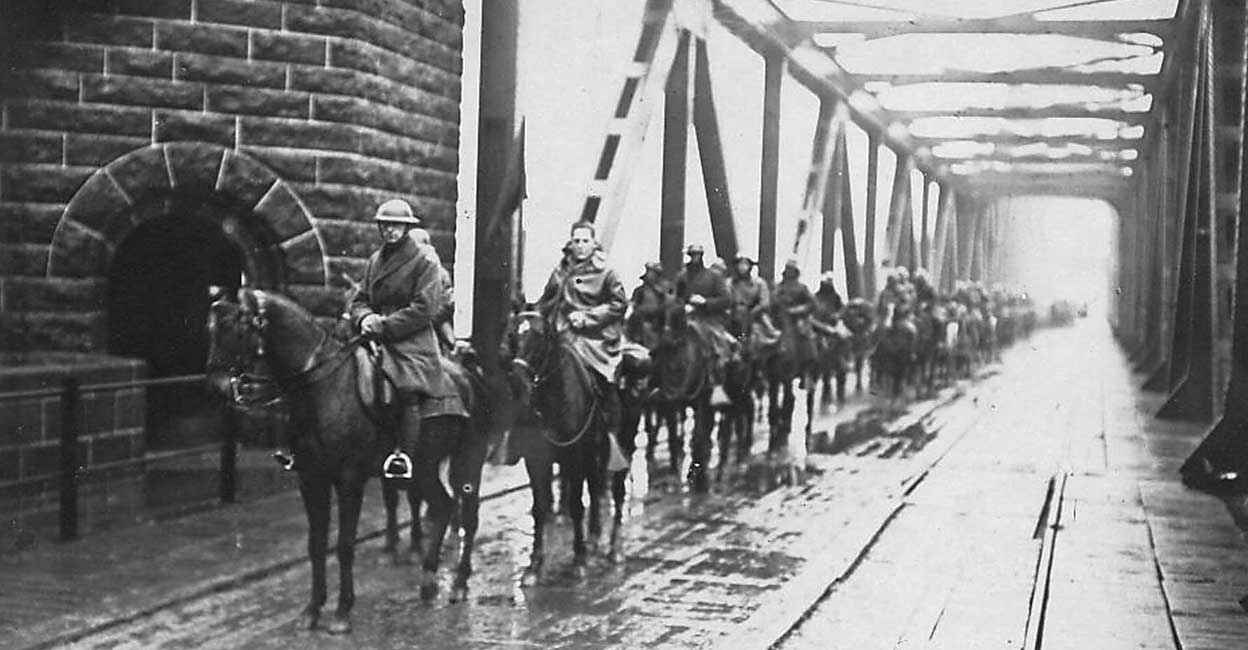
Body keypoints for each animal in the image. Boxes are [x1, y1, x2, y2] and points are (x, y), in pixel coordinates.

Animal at [207, 289, 484, 633]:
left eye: (237, 330)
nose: (218, 385)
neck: (323, 388)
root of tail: (465, 374)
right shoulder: (311, 477)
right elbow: (316, 544)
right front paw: (312, 609)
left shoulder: (350, 479)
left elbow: (344, 544)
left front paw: (341, 612)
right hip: (423, 468)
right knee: (443, 506)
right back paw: (429, 581)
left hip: (465, 460)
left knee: (467, 515)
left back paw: (458, 583)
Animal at [504, 311, 624, 581]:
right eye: (513, 335)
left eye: (539, 338)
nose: (516, 383)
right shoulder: (536, 460)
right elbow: (539, 508)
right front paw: (534, 565)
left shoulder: (575, 457)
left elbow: (576, 506)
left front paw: (579, 560)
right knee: (596, 486)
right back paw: (594, 536)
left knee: (613, 491)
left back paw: (613, 549)